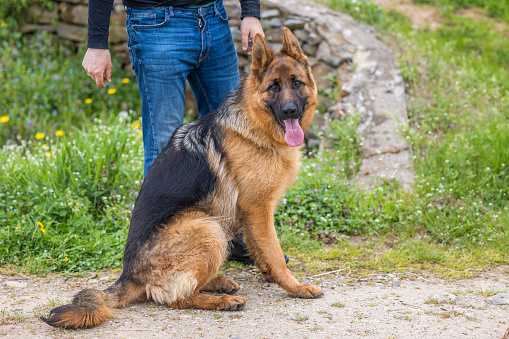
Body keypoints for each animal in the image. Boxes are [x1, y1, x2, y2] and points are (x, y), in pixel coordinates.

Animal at [42, 27, 322, 330]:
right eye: (273, 87)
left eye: (296, 83)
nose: (290, 111)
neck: (255, 126)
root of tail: (130, 274)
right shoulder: (257, 209)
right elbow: (274, 253)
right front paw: (295, 287)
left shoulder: (253, 215)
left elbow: (264, 252)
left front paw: (270, 275)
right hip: (207, 228)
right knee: (175, 298)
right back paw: (222, 301)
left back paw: (217, 283)